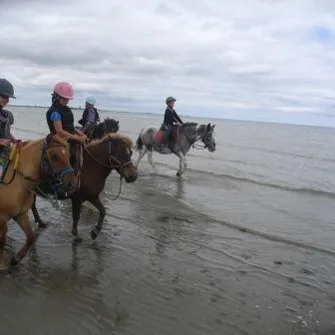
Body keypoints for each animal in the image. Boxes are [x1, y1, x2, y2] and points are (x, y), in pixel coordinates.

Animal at [0, 135, 77, 272]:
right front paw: (2, 264)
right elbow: (2, 240)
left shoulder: (21, 214)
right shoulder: (2, 217)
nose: (72, 184)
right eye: (54, 156)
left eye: (68, 155)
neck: (17, 180)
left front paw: (16, 258)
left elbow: (31, 237)